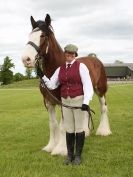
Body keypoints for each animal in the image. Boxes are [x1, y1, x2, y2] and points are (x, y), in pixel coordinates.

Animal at [21, 14, 111, 155]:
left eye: (43, 36)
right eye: (30, 35)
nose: (26, 59)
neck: (54, 71)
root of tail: (95, 59)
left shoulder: (64, 101)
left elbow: (64, 125)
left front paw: (61, 149)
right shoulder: (49, 102)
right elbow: (52, 124)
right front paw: (51, 146)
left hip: (100, 90)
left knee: (103, 108)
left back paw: (104, 131)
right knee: (85, 110)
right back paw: (85, 132)